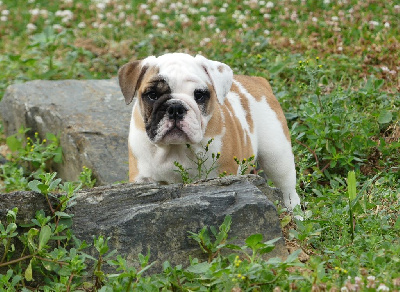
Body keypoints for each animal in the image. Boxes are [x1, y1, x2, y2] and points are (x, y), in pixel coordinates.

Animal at [119, 52, 300, 211]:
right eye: (152, 95)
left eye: (199, 95)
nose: (176, 108)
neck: (175, 149)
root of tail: (257, 81)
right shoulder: (143, 178)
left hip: (276, 155)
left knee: (287, 188)